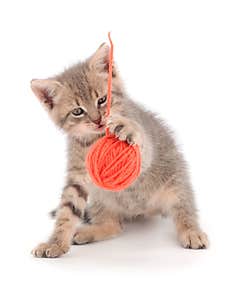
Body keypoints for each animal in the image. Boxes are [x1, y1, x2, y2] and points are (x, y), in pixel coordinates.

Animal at [30, 42, 208, 256]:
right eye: (78, 111)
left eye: (102, 100)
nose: (98, 120)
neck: (95, 139)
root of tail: (142, 211)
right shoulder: (78, 177)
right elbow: (67, 209)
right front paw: (55, 243)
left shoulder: (143, 156)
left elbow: (141, 145)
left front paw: (126, 126)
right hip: (101, 198)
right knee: (114, 226)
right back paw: (88, 232)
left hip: (176, 183)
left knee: (184, 209)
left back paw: (192, 232)